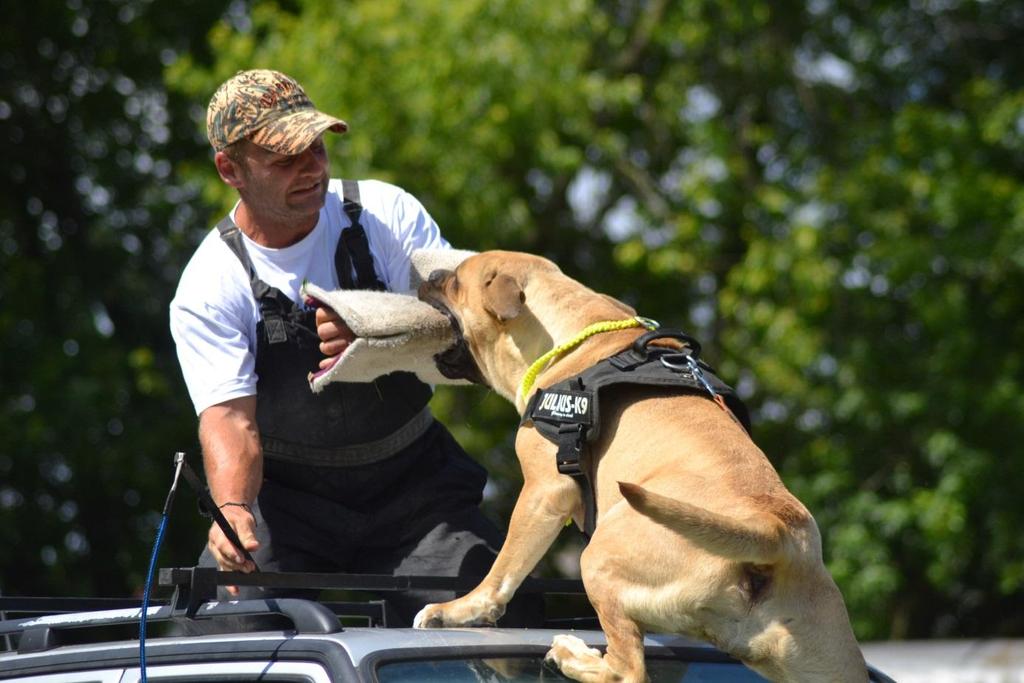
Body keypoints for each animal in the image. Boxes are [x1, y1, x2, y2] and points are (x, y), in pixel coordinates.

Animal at [411, 252, 868, 683]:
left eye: (455, 281)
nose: (430, 275)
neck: (573, 339)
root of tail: (773, 533)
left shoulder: (543, 493)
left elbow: (504, 569)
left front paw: (459, 609)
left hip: (598, 559)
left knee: (627, 669)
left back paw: (572, 656)